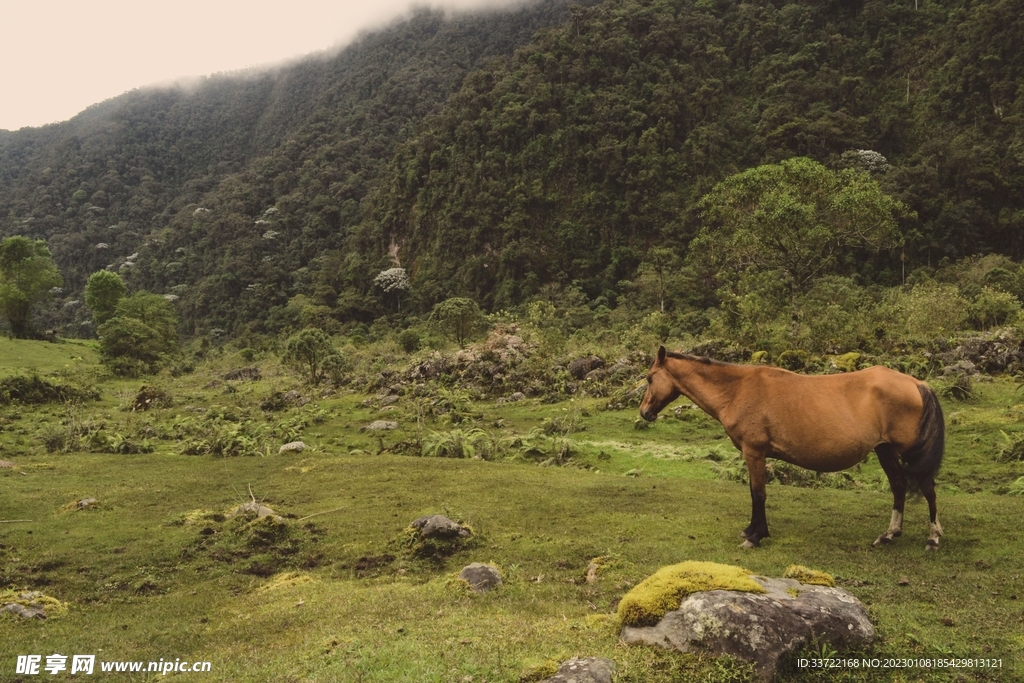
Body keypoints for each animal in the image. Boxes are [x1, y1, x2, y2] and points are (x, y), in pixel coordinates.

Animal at [639, 346, 945, 550]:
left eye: (649, 377)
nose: (644, 412)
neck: (737, 390)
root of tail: (917, 383)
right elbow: (754, 493)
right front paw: (750, 530)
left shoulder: (754, 452)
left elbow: (758, 494)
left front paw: (756, 536)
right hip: (885, 450)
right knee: (899, 486)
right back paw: (889, 534)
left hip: (908, 452)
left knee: (927, 488)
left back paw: (933, 537)